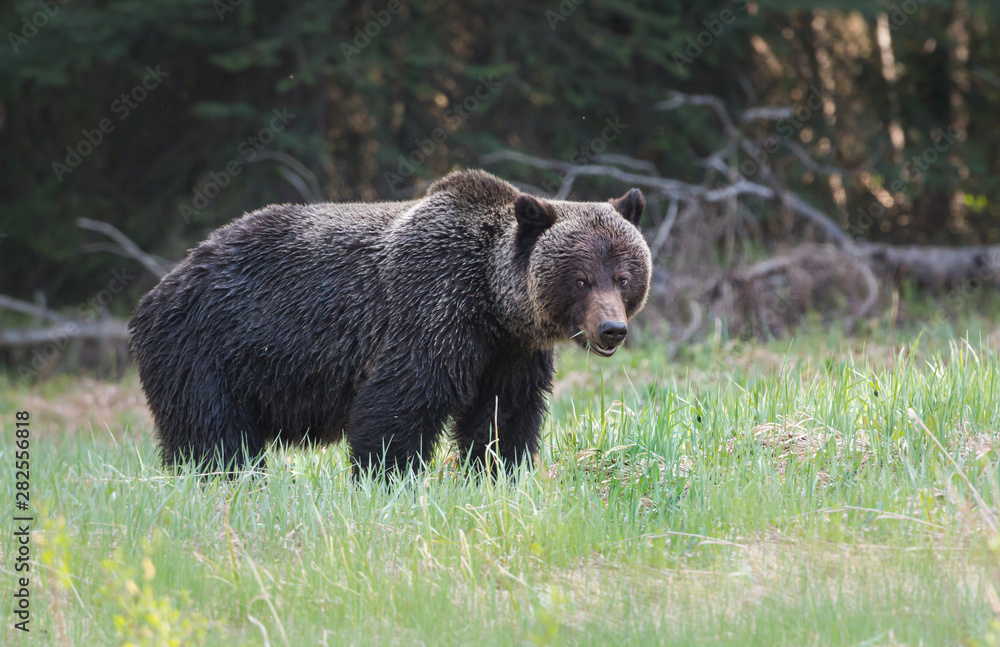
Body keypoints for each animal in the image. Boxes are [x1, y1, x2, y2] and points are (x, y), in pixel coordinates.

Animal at [129, 170, 652, 478]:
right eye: (581, 278)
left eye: (624, 276)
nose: (611, 329)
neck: (492, 302)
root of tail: (164, 283)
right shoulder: (433, 310)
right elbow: (399, 404)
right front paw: (386, 477)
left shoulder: (510, 352)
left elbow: (504, 416)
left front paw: (497, 471)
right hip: (206, 350)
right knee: (212, 436)